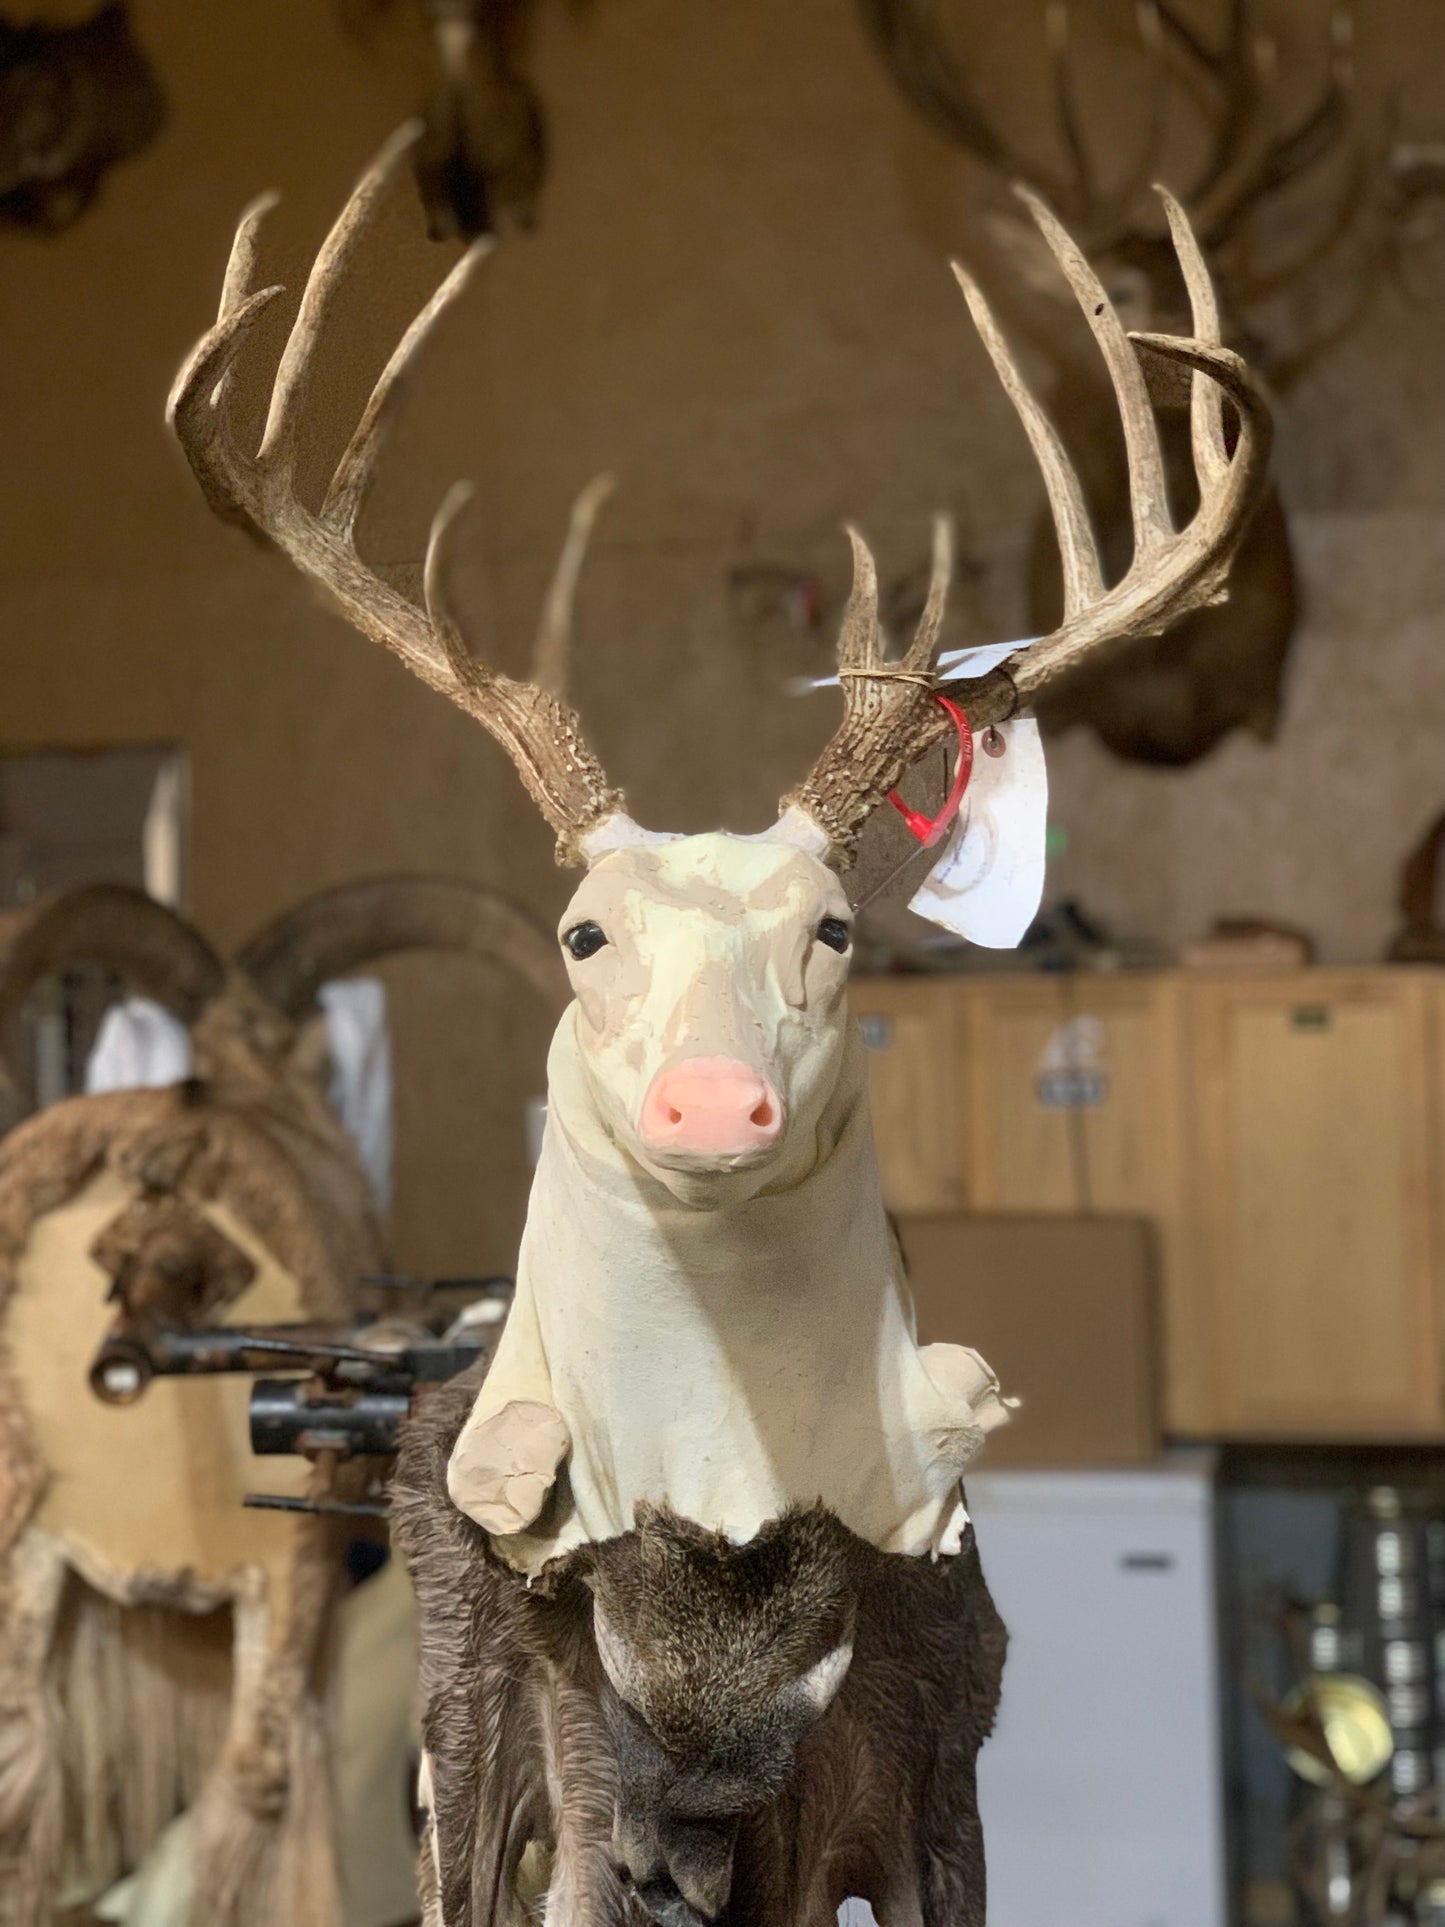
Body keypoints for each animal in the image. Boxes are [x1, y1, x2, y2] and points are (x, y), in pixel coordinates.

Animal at [167, 124, 1269, 1921]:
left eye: (833, 928)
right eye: (584, 934)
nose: (706, 1102)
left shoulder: (935, 1782)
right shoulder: (589, 1793)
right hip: (462, 1733)